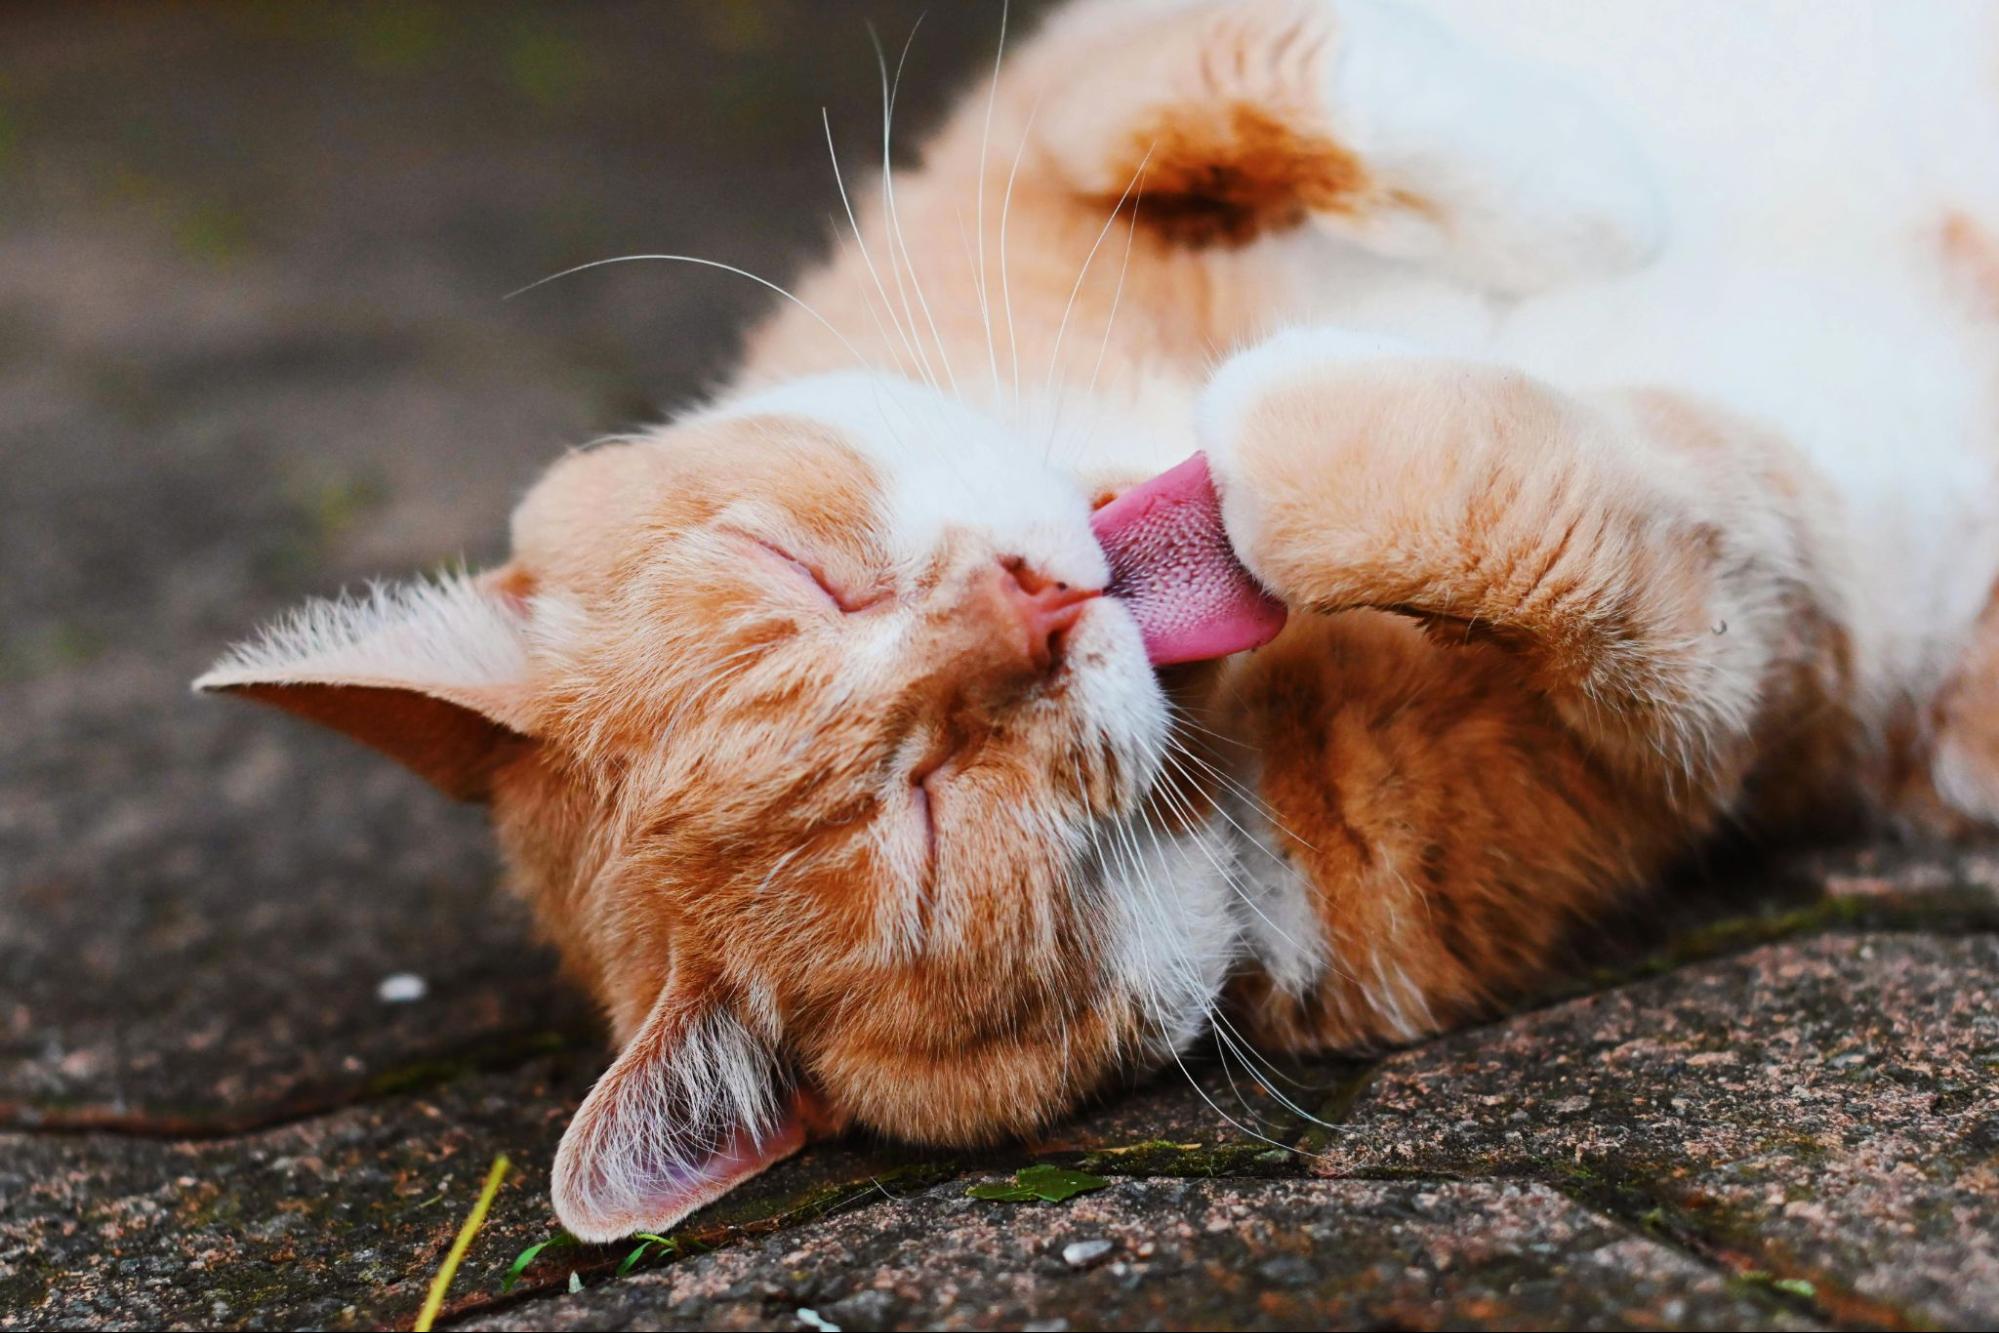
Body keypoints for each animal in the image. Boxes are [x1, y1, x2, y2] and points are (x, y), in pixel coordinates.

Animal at [194, 0, 1999, 1247]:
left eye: (799, 570)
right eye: (926, 819)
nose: (1035, 606)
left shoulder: (1055, 105)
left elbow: (1211, 88)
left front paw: (1586, 197)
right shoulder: (1702, 684)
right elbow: (1506, 513)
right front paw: (1295, 423)